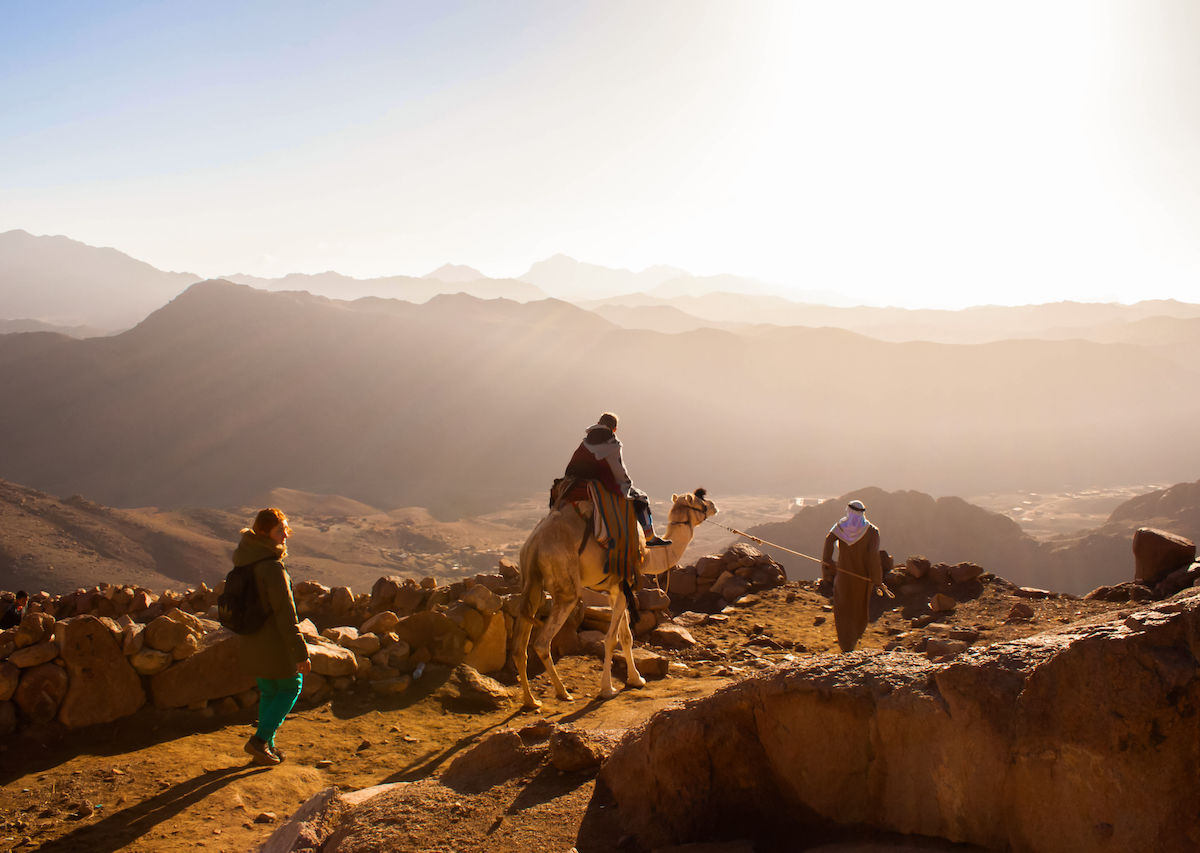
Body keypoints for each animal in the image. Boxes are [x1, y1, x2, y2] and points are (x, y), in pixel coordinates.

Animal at [513, 489, 715, 710]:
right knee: (542, 642)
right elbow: (611, 639)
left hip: (531, 582)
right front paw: (607, 689)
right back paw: (563, 692)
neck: (648, 554)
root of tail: (534, 544)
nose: (713, 506)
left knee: (520, 645)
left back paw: (531, 700)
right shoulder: (622, 585)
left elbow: (626, 637)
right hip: (564, 582)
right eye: (700, 503)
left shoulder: (615, 590)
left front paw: (636, 679)